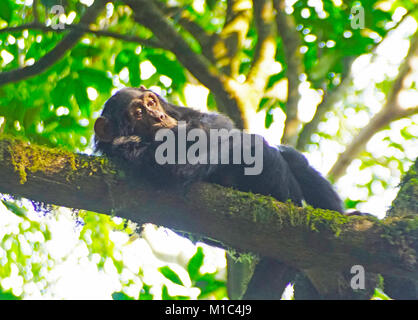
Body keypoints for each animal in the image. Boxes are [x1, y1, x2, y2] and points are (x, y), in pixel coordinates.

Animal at [94, 86, 342, 214]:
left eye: (151, 103)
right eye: (138, 113)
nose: (159, 116)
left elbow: (214, 122)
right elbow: (177, 166)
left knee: (293, 160)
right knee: (270, 156)